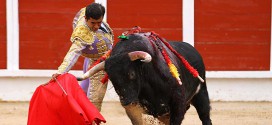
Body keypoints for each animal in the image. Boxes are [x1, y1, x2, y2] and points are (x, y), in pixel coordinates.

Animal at [82, 32, 211, 124]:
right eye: (111, 79)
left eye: (132, 74)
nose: (125, 101)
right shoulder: (135, 109)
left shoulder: (178, 103)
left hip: (201, 94)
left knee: (205, 116)